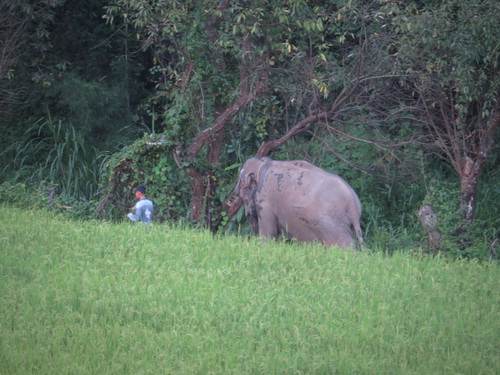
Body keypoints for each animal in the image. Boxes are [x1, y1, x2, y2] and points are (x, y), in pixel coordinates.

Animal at [234, 157, 364, 251]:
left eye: (240, 195)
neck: (263, 163)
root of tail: (352, 202)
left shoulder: (264, 202)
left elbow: (268, 235)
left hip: (333, 224)